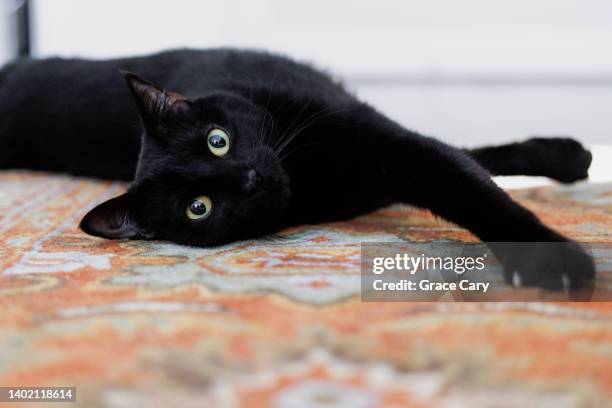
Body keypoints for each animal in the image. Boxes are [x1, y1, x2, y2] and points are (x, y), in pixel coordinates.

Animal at [0, 47, 592, 290]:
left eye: (217, 141)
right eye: (198, 208)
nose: (250, 178)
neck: (312, 177)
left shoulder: (385, 144)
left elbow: (469, 182)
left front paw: (553, 256)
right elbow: (468, 169)